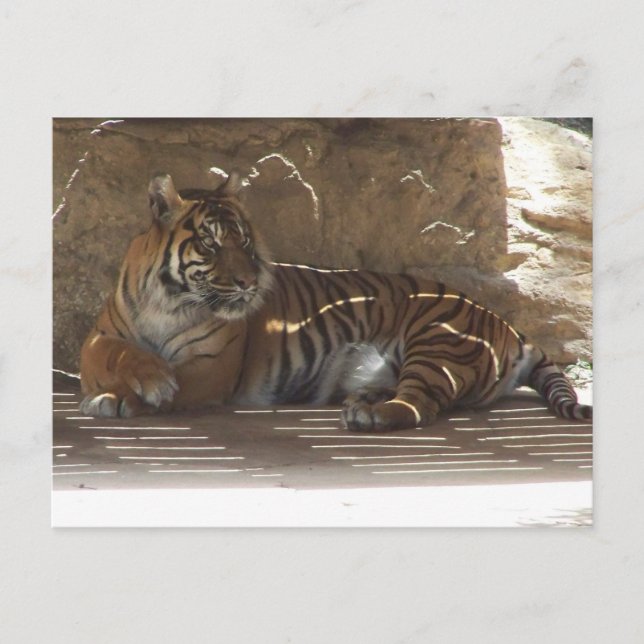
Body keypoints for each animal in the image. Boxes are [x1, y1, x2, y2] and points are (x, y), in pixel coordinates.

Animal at [79, 171, 593, 431]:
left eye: (243, 241)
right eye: (209, 243)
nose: (249, 283)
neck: (168, 300)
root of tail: (505, 323)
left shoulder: (210, 369)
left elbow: (169, 388)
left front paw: (126, 396)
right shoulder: (98, 337)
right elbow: (113, 354)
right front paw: (133, 381)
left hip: (437, 339)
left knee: (421, 405)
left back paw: (371, 414)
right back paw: (363, 399)